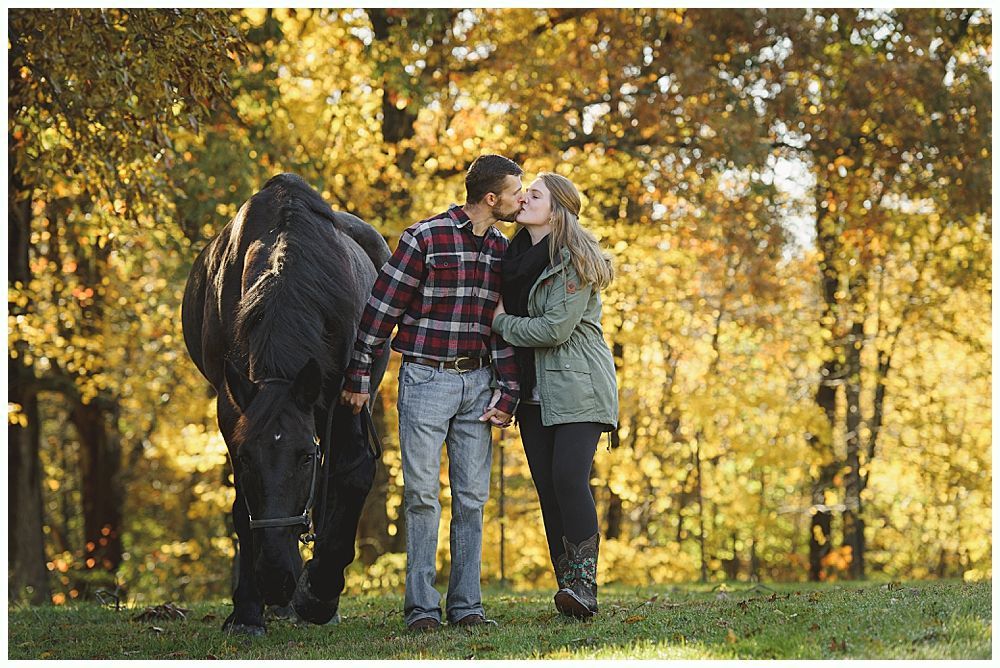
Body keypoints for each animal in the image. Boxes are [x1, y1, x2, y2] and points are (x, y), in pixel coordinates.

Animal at [182, 173, 390, 635]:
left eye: (305, 458)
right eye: (246, 458)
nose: (277, 578)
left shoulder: (345, 400)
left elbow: (351, 476)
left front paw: (318, 595)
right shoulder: (232, 409)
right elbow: (241, 507)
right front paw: (247, 610)